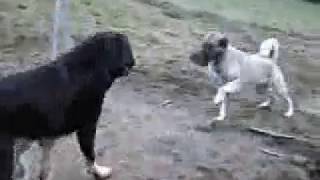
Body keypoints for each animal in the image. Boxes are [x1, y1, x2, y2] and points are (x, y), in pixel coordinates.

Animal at [0, 31, 134, 179]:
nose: (133, 62)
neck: (89, 67)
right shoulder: (87, 127)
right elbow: (90, 154)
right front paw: (98, 171)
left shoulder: (42, 135)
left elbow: (44, 164)